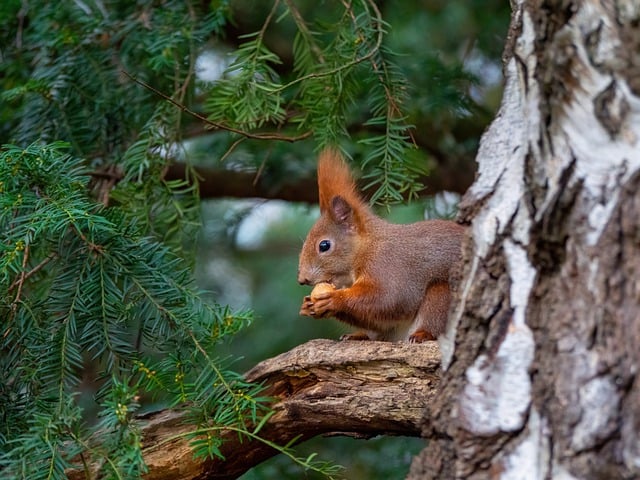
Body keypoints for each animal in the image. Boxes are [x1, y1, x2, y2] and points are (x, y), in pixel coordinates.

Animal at [297, 148, 465, 342]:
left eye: (324, 245)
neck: (368, 247)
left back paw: (423, 334)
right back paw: (358, 335)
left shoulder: (388, 265)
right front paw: (307, 306)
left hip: (443, 293)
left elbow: (390, 299)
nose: (302, 279)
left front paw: (334, 299)